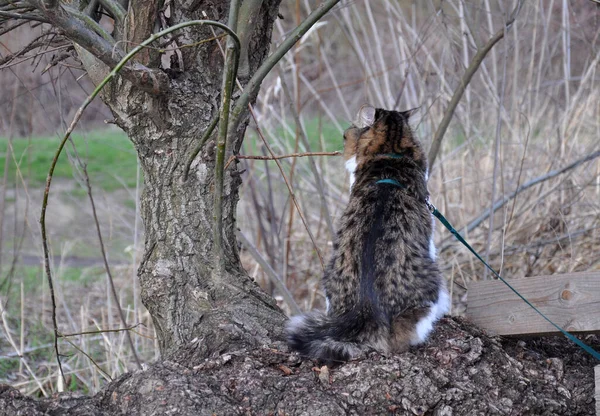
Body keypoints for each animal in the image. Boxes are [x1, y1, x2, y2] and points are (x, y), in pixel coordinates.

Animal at [286, 105, 450, 366]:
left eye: (346, 135)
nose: (343, 139)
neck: (391, 152)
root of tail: (365, 309)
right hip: (432, 280)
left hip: (330, 274)